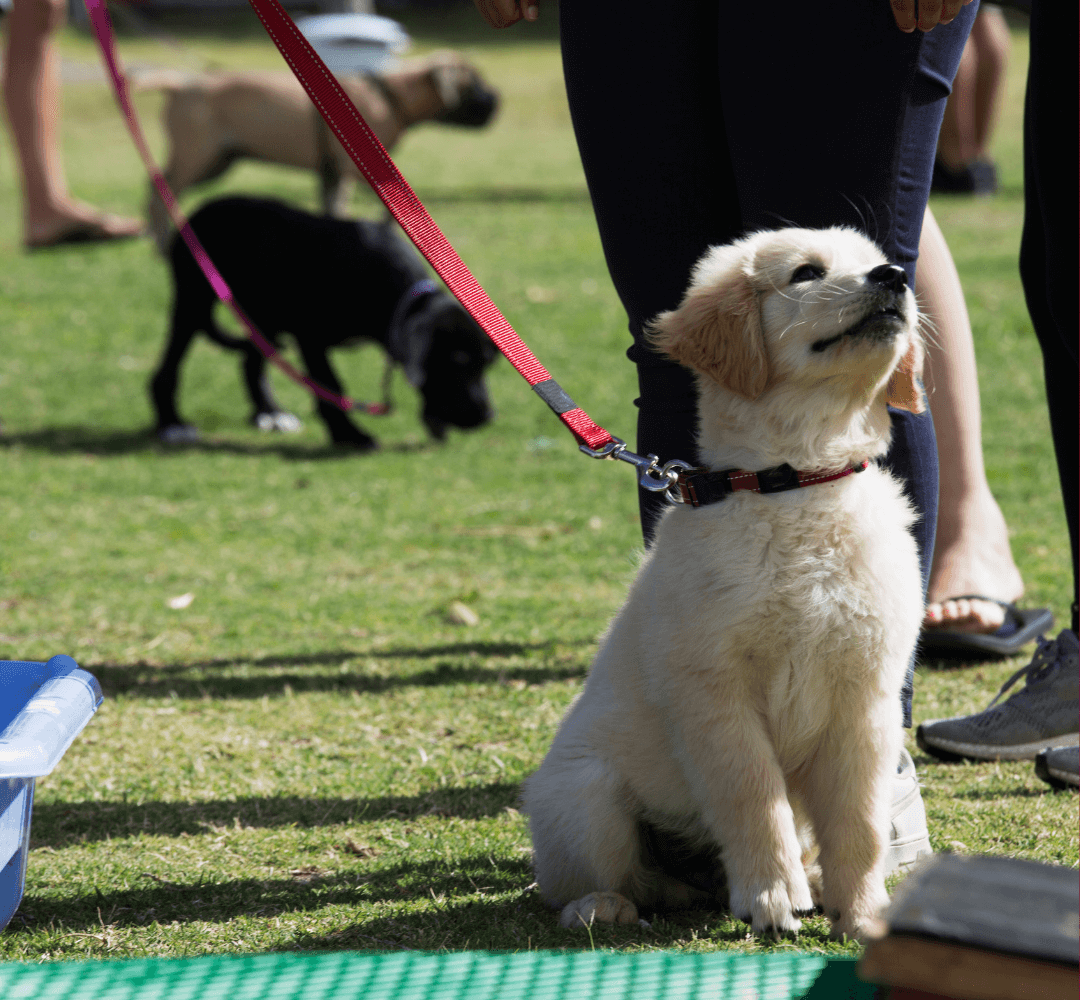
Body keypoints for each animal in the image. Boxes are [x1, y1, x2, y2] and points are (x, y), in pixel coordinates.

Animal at [136, 52, 501, 252]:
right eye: (474, 84)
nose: (497, 103)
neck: (389, 94)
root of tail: (181, 84)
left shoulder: (332, 173)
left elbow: (331, 211)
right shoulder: (354, 170)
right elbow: (356, 210)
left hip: (217, 161)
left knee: (157, 187)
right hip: (197, 156)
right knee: (159, 192)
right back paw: (161, 246)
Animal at [151, 197, 496, 449]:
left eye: (487, 364)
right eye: (457, 361)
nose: (486, 417)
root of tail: (197, 212)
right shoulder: (310, 336)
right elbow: (330, 385)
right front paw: (349, 435)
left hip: (264, 319)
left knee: (251, 363)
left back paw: (270, 413)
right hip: (193, 301)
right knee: (168, 369)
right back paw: (172, 423)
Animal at [520, 231, 920, 941]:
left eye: (875, 257)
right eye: (806, 272)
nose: (894, 275)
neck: (798, 485)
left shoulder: (867, 698)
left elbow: (862, 823)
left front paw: (864, 911)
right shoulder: (715, 693)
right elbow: (754, 798)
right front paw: (773, 895)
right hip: (584, 796)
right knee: (600, 881)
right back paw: (602, 906)